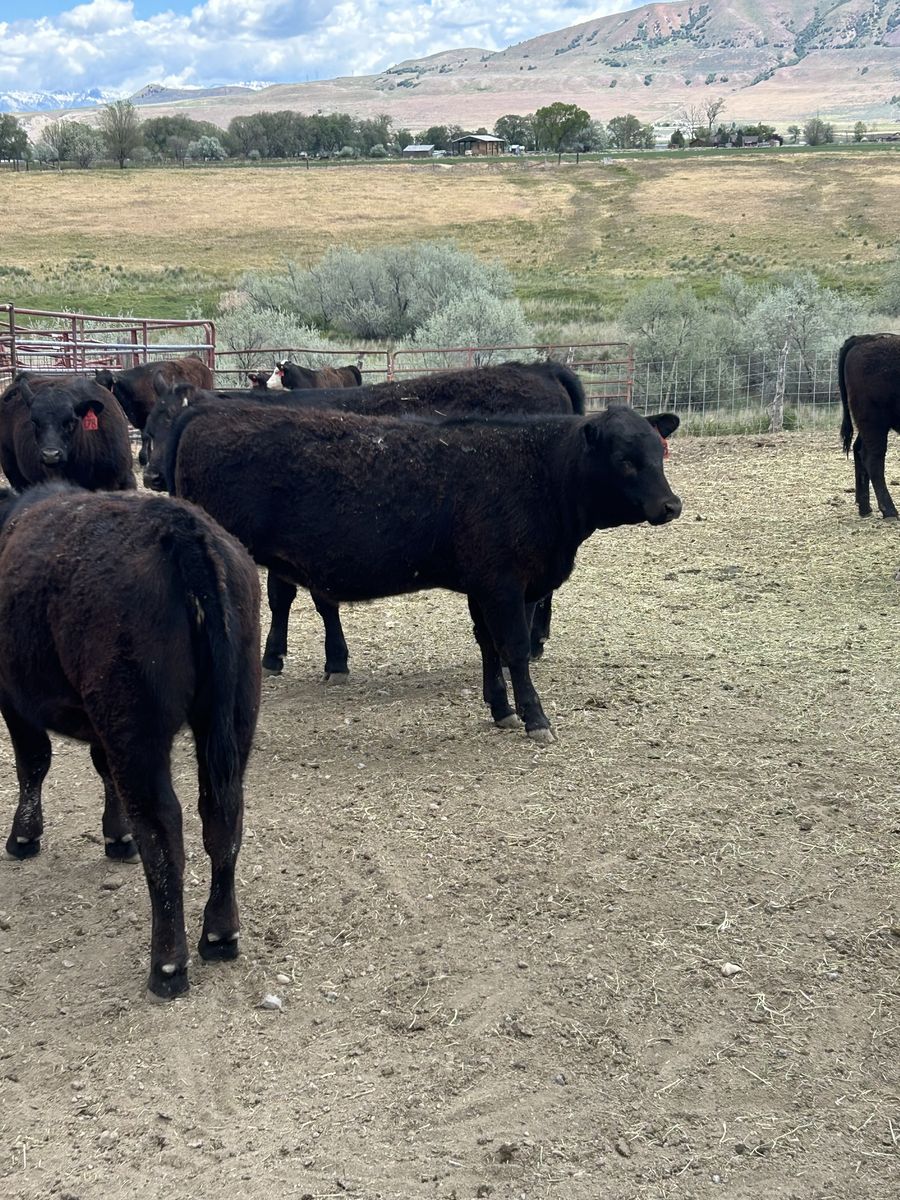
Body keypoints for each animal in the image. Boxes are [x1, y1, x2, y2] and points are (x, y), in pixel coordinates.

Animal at [0, 483, 261, 1000]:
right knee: (223, 816)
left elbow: (33, 762)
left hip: (135, 722)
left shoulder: (12, 695)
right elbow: (102, 770)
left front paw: (23, 836)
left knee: (163, 829)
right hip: (233, 706)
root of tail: (182, 527)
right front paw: (115, 835)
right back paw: (220, 934)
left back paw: (168, 965)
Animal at [143, 360, 590, 671]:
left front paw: (298, 656)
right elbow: (291, 596)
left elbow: (294, 597)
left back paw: (534, 640)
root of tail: (541, 367)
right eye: (147, 430)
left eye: (163, 426)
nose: (151, 475)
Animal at [151, 402, 680, 744]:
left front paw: (501, 708)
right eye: (625, 460)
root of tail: (209, 410)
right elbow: (515, 648)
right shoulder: (506, 585)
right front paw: (535, 717)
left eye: (659, 452)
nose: (671, 505)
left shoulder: (485, 584)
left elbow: (489, 646)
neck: (541, 472)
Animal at [839, 333, 900, 518]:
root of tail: (863, 338)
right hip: (875, 423)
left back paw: (865, 507)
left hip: (867, 425)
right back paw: (889, 511)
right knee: (873, 459)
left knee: (859, 450)